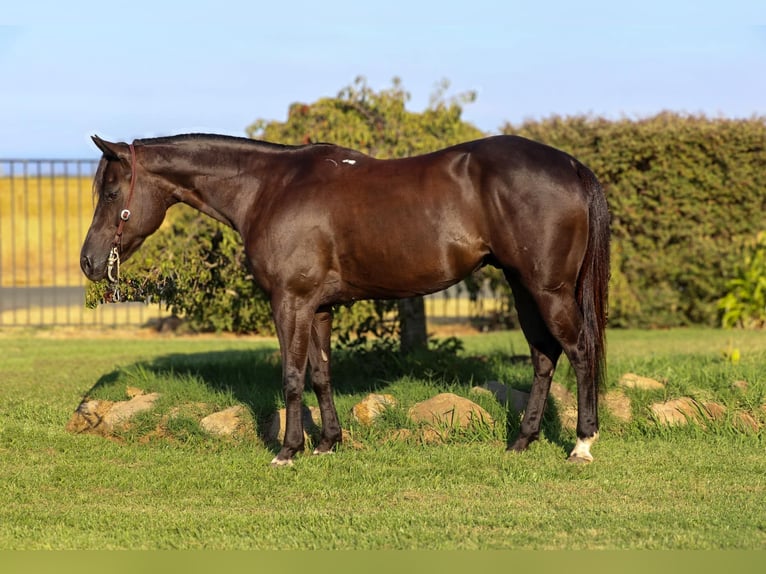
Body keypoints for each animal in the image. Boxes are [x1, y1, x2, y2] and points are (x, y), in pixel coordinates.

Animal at [82, 135, 612, 468]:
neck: (269, 188)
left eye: (110, 192)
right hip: (524, 288)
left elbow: (292, 376)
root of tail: (571, 166)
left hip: (548, 290)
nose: (89, 261)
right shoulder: (318, 307)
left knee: (580, 351)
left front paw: (288, 451)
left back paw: (582, 444)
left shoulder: (290, 303)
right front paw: (327, 444)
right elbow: (320, 374)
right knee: (544, 357)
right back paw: (522, 441)